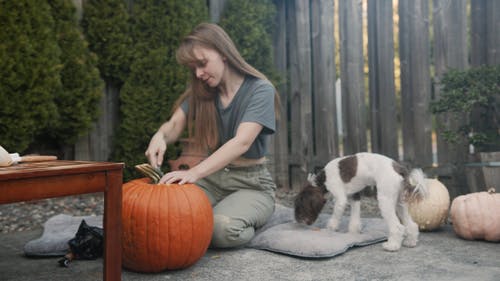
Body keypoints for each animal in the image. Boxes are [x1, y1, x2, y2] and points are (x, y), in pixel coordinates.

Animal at [294, 152, 428, 250]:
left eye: (300, 207)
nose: (297, 220)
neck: (323, 179)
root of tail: (398, 168)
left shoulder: (340, 199)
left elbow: (335, 218)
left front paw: (330, 229)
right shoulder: (355, 196)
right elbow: (354, 218)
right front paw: (353, 233)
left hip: (385, 200)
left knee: (398, 226)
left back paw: (392, 246)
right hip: (400, 203)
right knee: (412, 224)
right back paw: (411, 242)